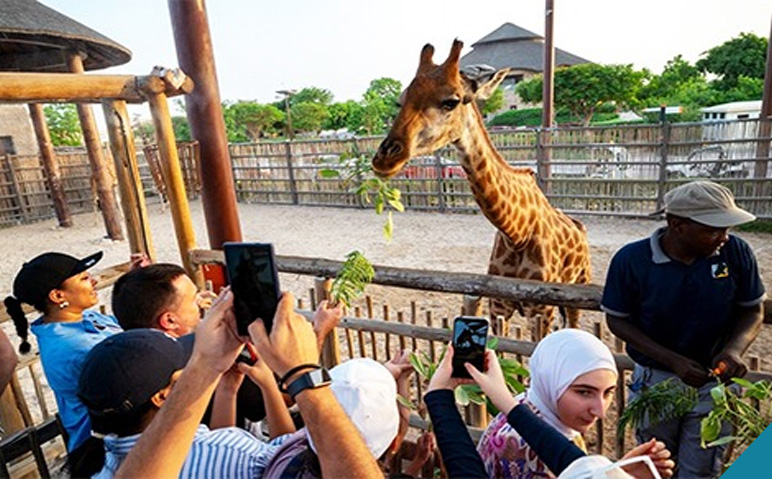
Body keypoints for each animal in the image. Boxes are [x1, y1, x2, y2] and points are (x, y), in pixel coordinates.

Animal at [372, 41, 592, 342]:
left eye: (450, 101)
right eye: (401, 99)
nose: (384, 159)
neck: (517, 232)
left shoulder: (541, 310)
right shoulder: (498, 305)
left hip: (579, 287)